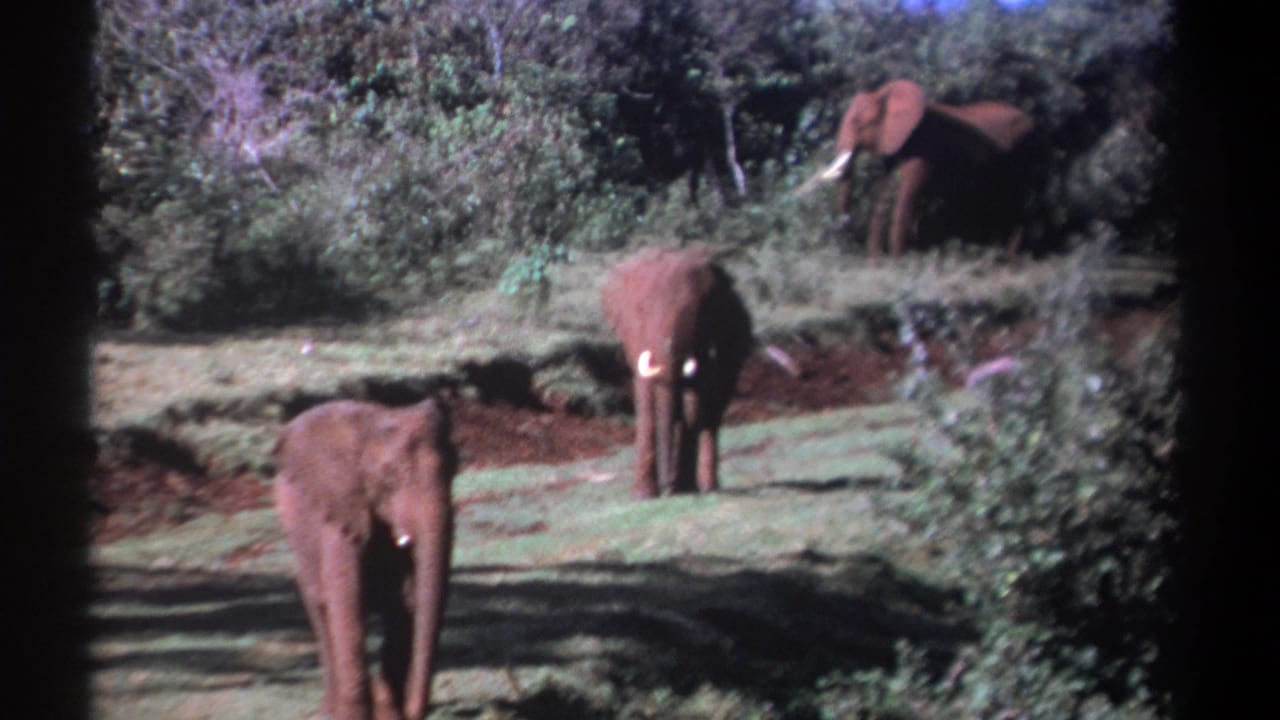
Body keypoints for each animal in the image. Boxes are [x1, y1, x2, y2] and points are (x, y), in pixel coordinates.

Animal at [274, 397, 457, 720]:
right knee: (321, 610)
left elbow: (404, 605)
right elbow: (347, 603)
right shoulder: (340, 513)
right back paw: (328, 711)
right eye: (389, 475)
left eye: (455, 469)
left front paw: (391, 716)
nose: (416, 712)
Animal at [601, 246, 754, 499]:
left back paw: (708, 486)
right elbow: (646, 397)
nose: (667, 485)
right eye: (641, 311)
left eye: (701, 313)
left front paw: (682, 488)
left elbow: (696, 396)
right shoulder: (634, 338)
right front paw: (643, 496)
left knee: (714, 409)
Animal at [807, 79, 1035, 263]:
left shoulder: (923, 147)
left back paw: (1010, 263)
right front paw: (877, 265)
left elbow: (908, 193)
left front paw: (898, 264)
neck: (885, 94)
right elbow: (884, 191)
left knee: (1018, 205)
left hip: (1024, 151)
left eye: (858, 123)